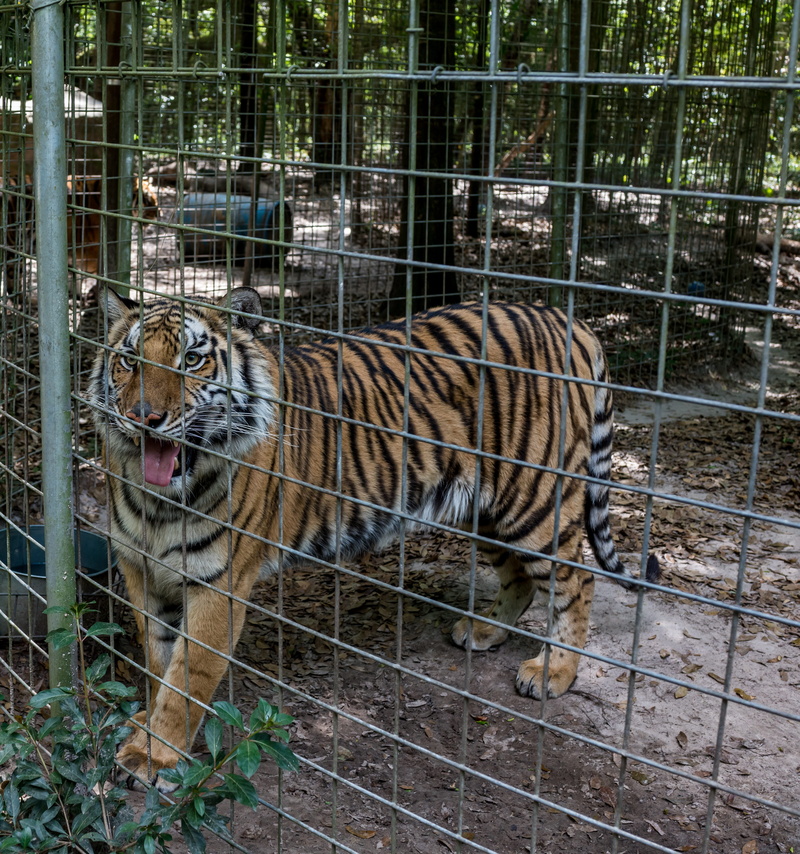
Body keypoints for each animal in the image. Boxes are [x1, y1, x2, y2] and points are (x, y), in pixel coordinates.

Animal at [88, 288, 659, 789]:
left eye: (191, 360)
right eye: (129, 360)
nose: (144, 417)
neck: (161, 502)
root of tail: (564, 317)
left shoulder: (218, 585)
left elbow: (186, 679)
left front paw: (155, 757)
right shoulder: (142, 571)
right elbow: (159, 662)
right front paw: (145, 731)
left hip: (534, 501)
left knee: (576, 582)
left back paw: (553, 673)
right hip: (484, 508)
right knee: (519, 577)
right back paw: (482, 631)